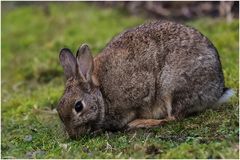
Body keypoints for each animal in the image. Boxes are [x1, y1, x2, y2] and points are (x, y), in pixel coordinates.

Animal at [57, 20, 233, 139]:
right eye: (58, 109)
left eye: (78, 106)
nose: (73, 136)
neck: (101, 93)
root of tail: (216, 90)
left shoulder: (135, 95)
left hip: (172, 86)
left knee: (173, 117)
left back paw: (140, 123)